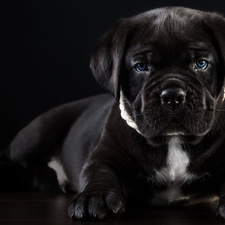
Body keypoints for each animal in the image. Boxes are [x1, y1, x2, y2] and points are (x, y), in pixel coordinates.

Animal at [3, 6, 225, 220]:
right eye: (141, 67)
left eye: (201, 63)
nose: (172, 95)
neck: (173, 140)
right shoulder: (101, 157)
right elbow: (100, 174)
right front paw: (94, 198)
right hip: (40, 131)